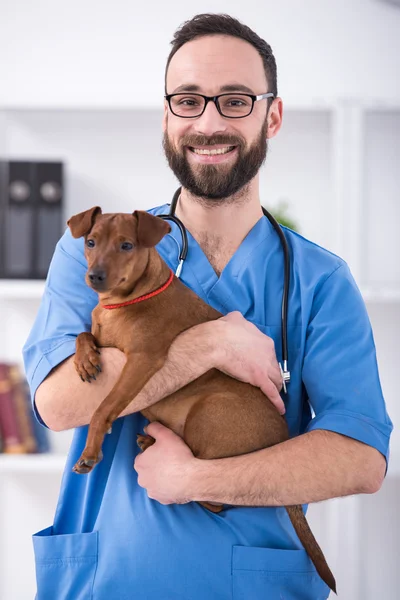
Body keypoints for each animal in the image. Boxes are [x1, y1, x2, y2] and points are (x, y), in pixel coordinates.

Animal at [67, 207, 336, 596]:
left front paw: (90, 452)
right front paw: (85, 358)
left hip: (207, 412)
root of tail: (280, 440)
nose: (95, 276)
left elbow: (103, 408)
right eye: (90, 242)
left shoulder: (142, 361)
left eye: (126, 245)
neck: (123, 301)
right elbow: (83, 334)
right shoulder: (104, 336)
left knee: (210, 493)